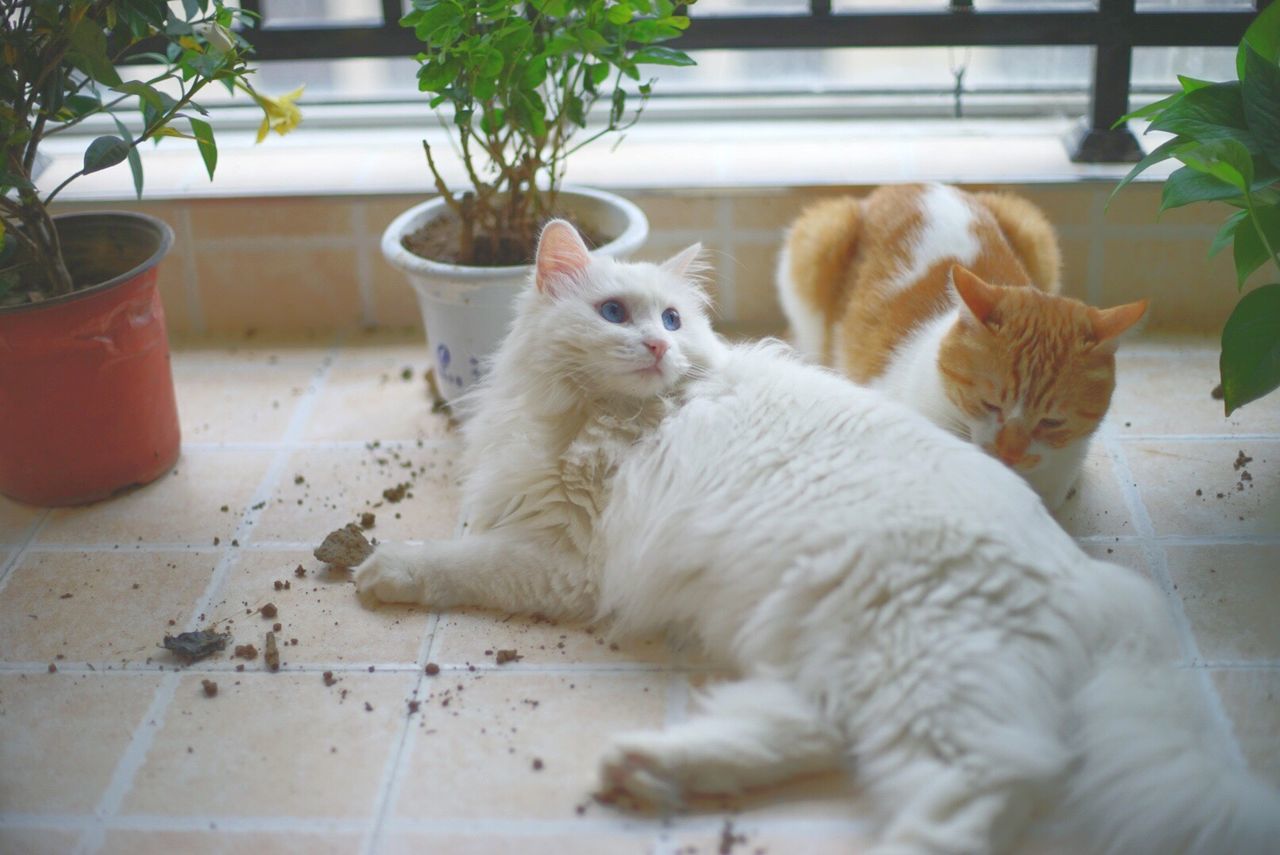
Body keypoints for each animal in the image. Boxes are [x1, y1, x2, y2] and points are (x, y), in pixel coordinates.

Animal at [353, 222, 1280, 855]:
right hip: (838, 653)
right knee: (817, 735)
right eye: (615, 313)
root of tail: (1093, 584)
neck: (612, 413)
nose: (654, 344)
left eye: (673, 319)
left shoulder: (566, 559)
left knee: (984, 791)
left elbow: (461, 561)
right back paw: (647, 767)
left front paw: (379, 565)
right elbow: (472, 535)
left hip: (925, 676)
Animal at [778, 181, 1152, 506]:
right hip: (818, 245)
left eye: (1052, 422)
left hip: (1034, 232)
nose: (1009, 452)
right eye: (989, 403)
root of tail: (907, 184)